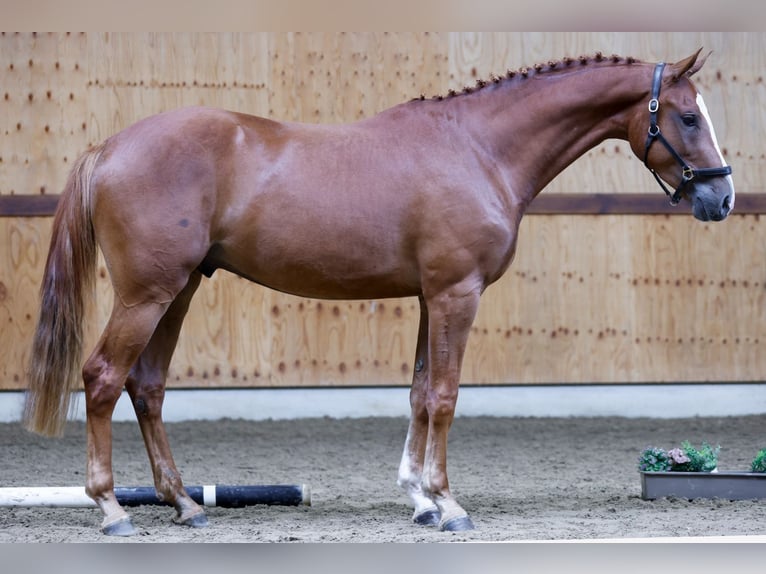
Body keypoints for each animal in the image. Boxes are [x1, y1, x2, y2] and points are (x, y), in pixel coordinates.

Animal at [21, 48, 736, 536]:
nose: (723, 197)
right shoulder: (456, 294)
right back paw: (112, 508)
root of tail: (109, 146)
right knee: (104, 377)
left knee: (146, 387)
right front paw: (448, 503)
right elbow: (445, 397)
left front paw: (419, 499)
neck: (478, 148)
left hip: (179, 290)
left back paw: (184, 503)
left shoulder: (429, 297)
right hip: (148, 293)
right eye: (687, 116)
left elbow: (419, 393)